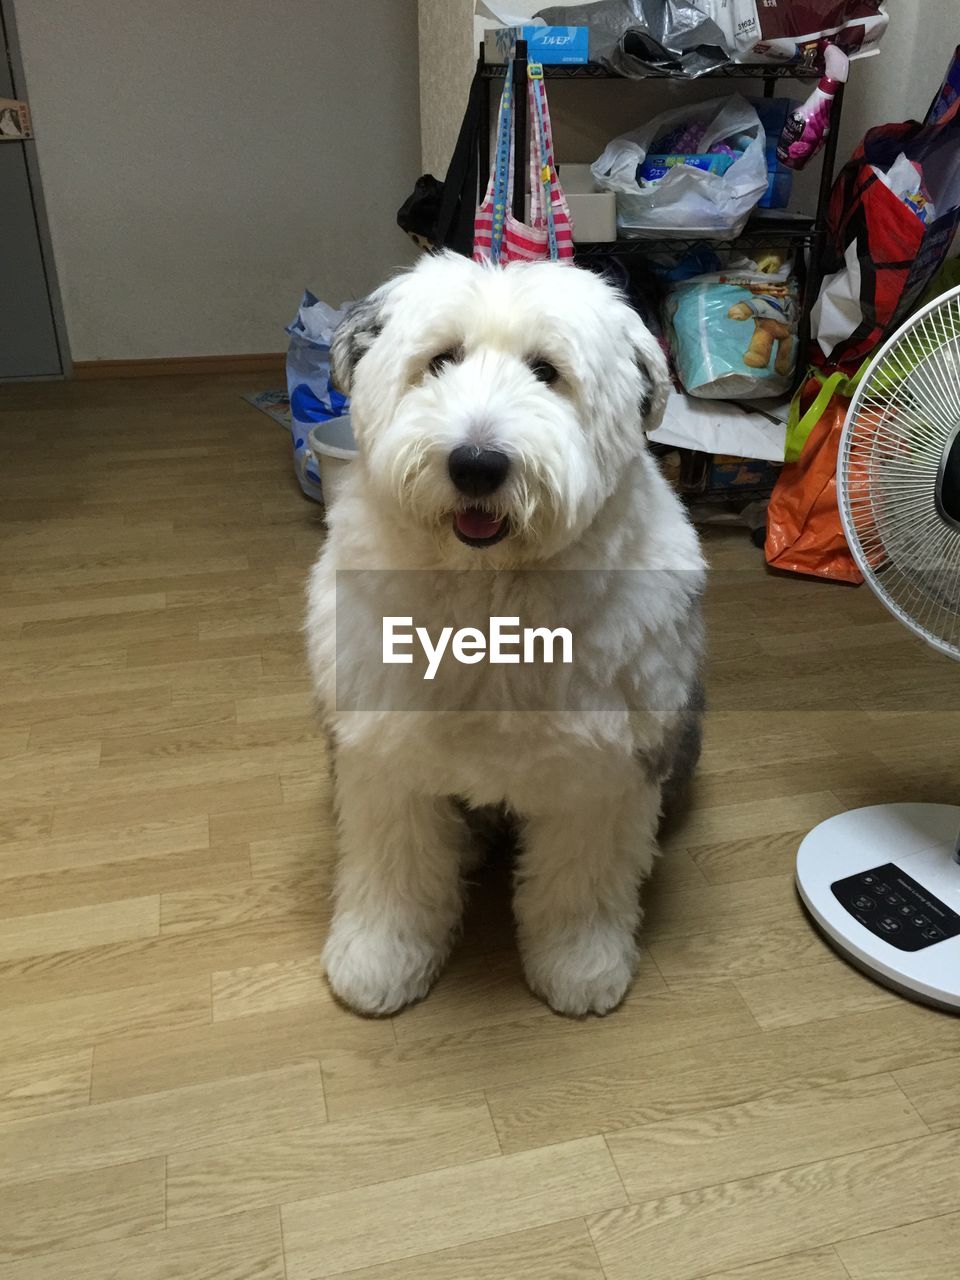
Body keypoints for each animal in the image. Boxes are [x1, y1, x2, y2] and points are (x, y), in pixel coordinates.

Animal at [308, 252, 706, 1018]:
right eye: (441, 360)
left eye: (547, 371)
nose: (476, 464)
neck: (488, 597)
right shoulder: (383, 758)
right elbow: (394, 867)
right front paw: (380, 960)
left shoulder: (603, 770)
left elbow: (582, 878)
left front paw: (580, 966)